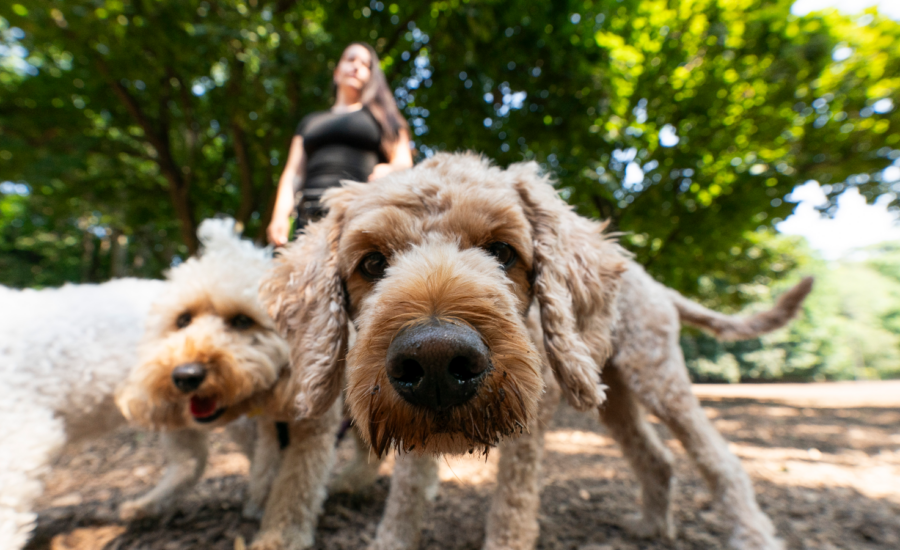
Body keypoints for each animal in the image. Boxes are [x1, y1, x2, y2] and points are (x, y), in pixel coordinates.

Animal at [262, 152, 816, 550]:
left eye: (503, 251)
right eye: (372, 263)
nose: (437, 362)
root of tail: (649, 278)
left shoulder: (526, 440)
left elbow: (511, 512)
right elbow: (405, 500)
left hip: (660, 378)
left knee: (722, 463)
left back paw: (752, 536)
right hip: (610, 394)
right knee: (656, 458)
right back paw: (651, 526)